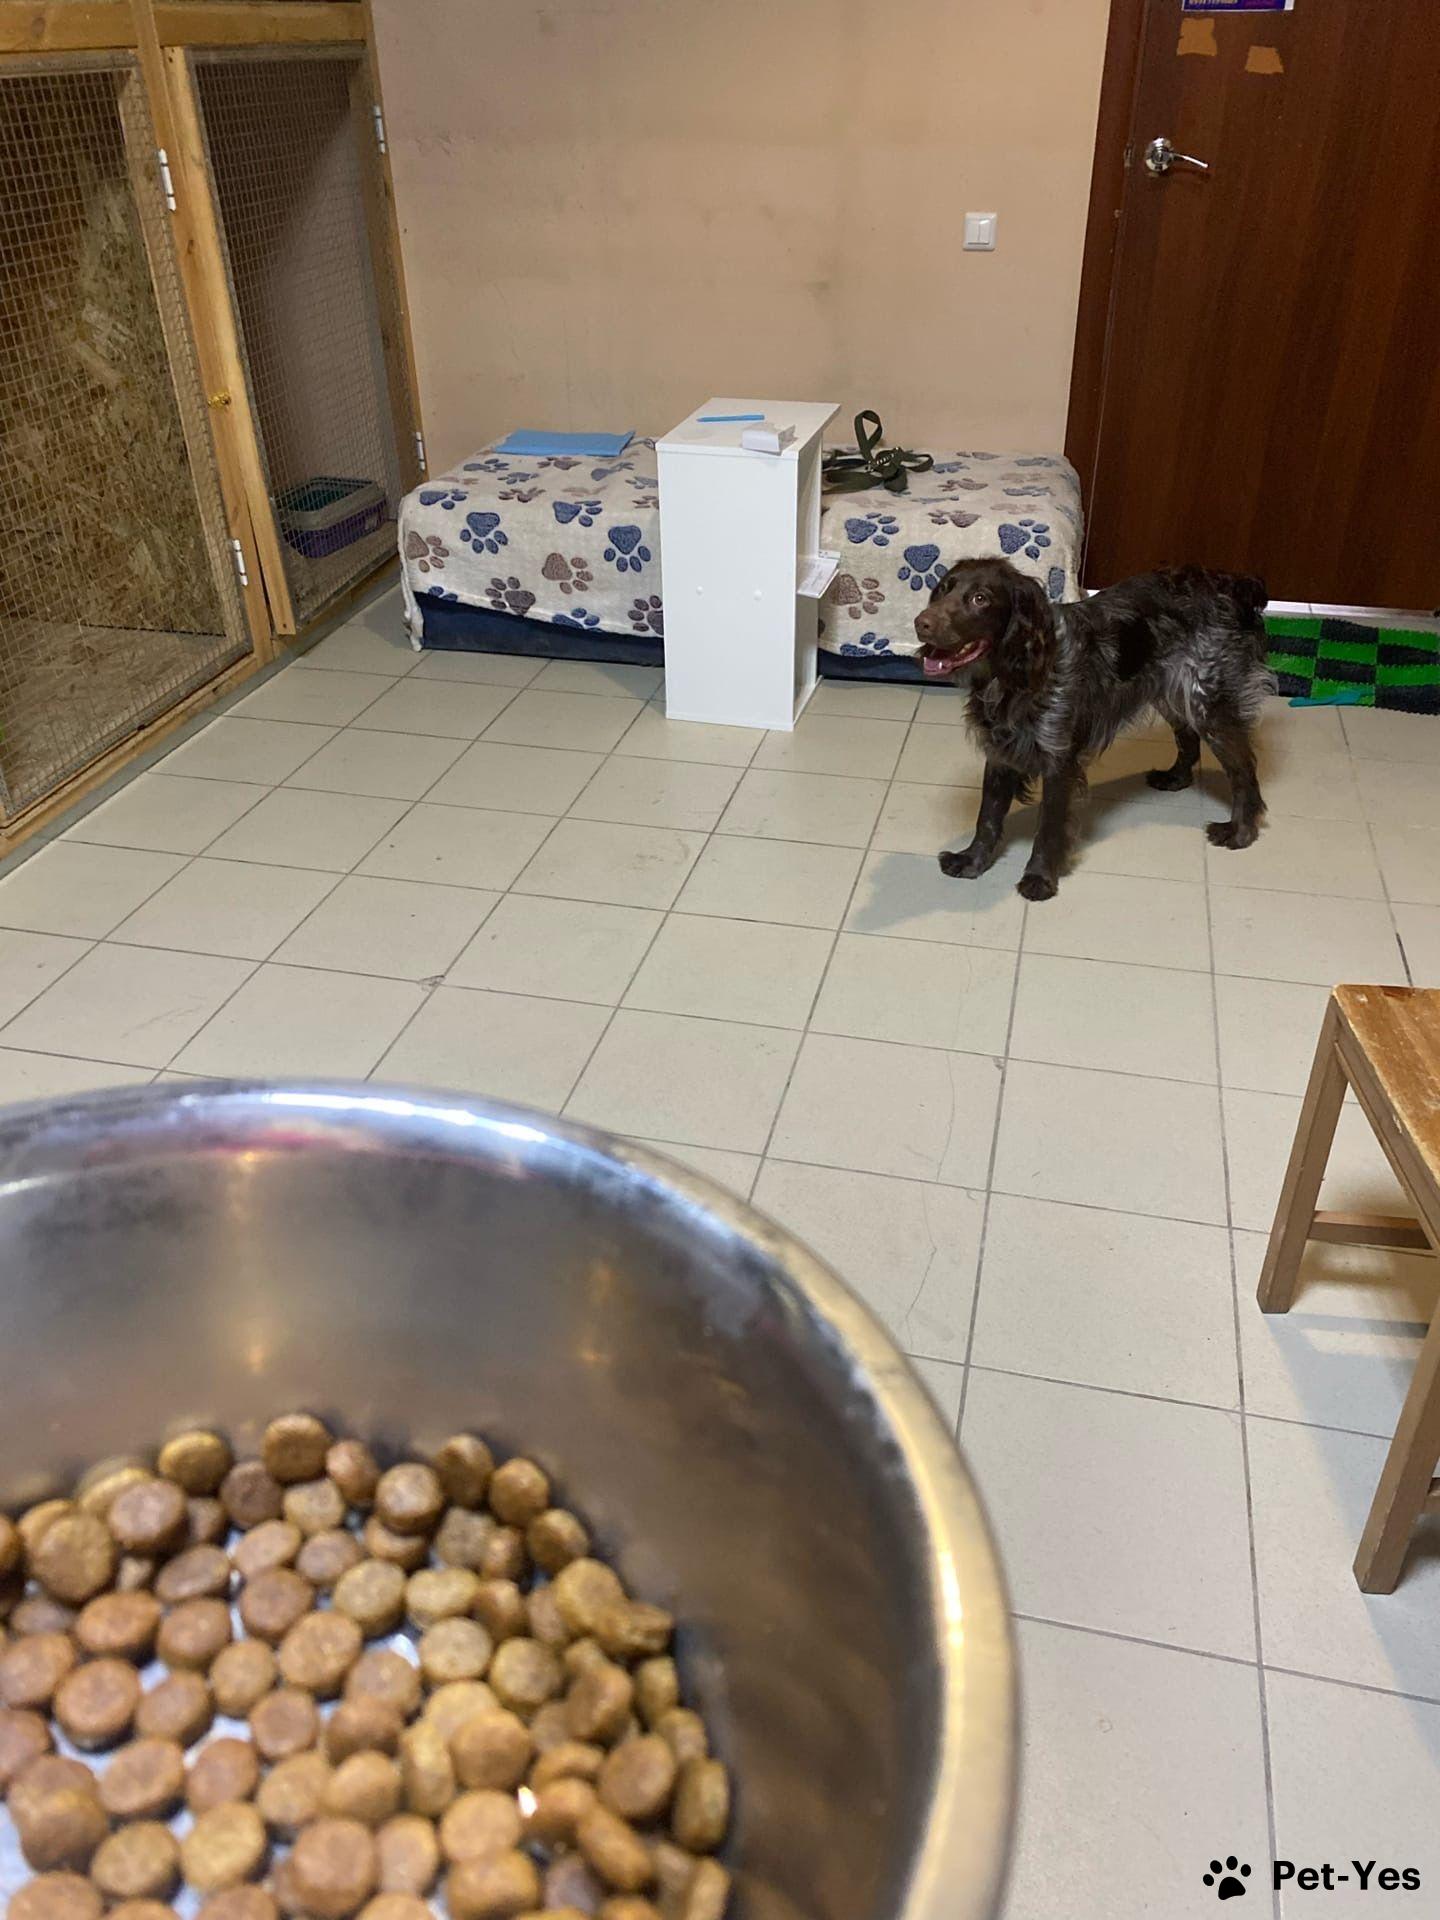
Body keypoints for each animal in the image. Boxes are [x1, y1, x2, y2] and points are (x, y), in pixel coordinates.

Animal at [912, 558, 1273, 901]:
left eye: (980, 598)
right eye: (944, 588)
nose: (920, 623)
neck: (1014, 679)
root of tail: (1231, 582)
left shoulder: (1059, 761)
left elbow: (1048, 827)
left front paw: (1039, 878)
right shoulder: (1000, 754)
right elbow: (987, 817)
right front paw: (972, 861)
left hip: (1209, 702)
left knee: (1243, 770)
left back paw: (1240, 832)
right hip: (1173, 693)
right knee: (1188, 738)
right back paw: (1176, 778)